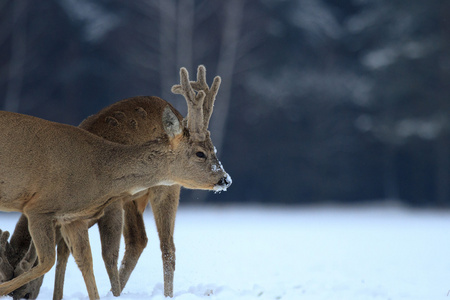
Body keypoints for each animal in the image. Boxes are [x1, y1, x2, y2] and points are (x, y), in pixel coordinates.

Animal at [0, 67, 232, 298]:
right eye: (200, 153)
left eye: (213, 149)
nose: (225, 179)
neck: (98, 169)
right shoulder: (48, 210)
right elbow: (72, 259)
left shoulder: (63, 213)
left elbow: (85, 258)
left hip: (163, 190)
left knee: (161, 245)